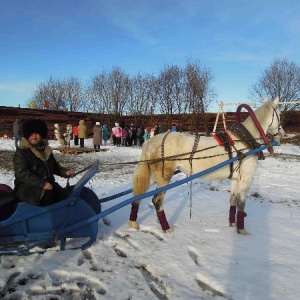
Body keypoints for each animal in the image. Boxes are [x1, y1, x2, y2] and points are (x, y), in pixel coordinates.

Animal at [128, 97, 284, 233]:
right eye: (280, 114)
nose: (281, 133)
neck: (245, 140)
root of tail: (151, 141)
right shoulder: (246, 178)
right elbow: (241, 203)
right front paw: (241, 230)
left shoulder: (235, 178)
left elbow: (233, 199)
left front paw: (232, 224)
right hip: (164, 177)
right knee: (157, 200)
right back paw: (166, 228)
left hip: (152, 175)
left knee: (138, 195)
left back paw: (133, 223)